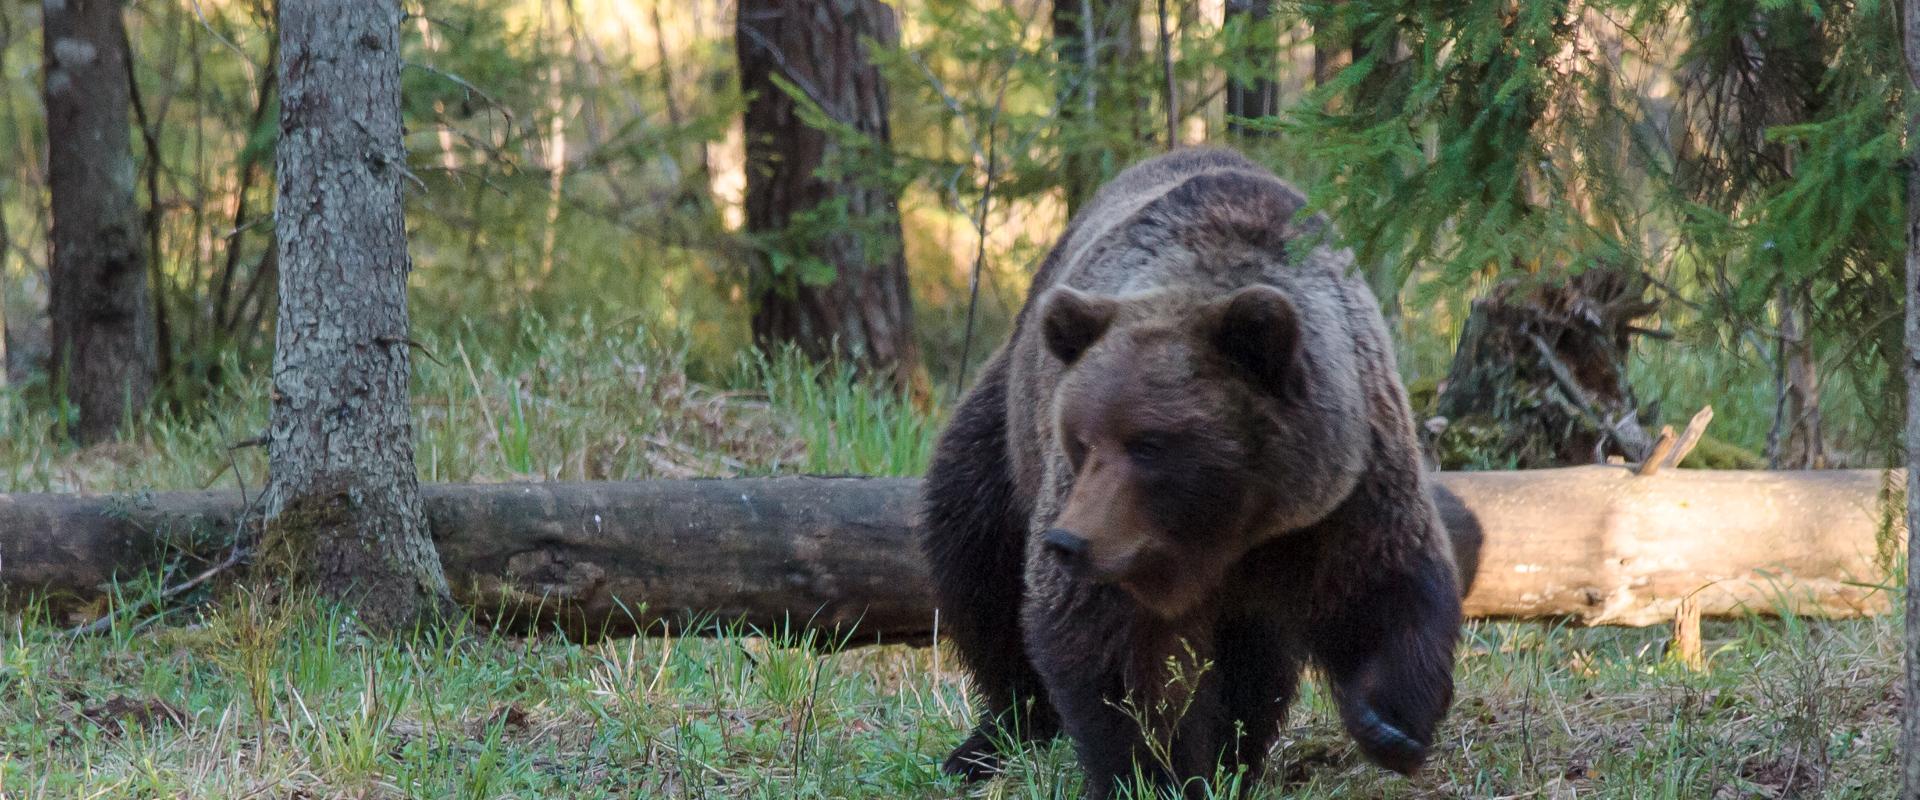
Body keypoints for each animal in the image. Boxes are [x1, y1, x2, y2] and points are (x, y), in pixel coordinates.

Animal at [921, 146, 1459, 794]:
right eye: (1080, 438)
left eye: (1149, 444)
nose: (1069, 541)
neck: (1229, 528)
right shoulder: (1118, 537)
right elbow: (1114, 652)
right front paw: (1154, 772)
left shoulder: (1347, 490)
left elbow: (1384, 584)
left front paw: (1389, 722)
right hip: (1006, 431)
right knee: (973, 551)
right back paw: (991, 739)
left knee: (1255, 658)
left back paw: (1240, 753)